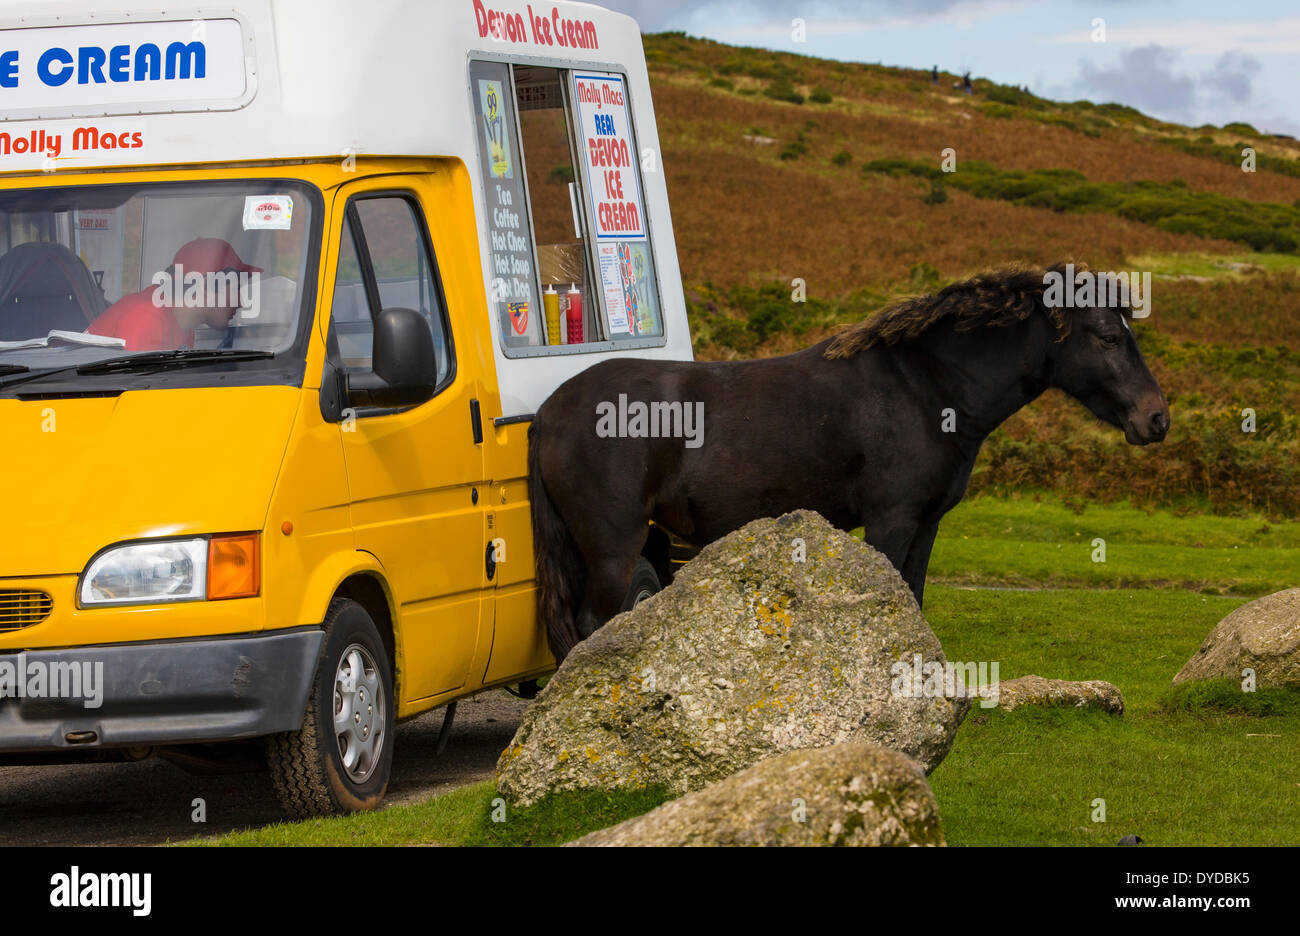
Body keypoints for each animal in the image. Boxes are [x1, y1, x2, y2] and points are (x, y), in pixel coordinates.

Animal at [525, 261, 1170, 657]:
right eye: (1109, 337)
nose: (1156, 418)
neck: (925, 388)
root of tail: (551, 409)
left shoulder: (926, 525)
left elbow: (914, 599)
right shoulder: (891, 520)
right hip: (612, 548)